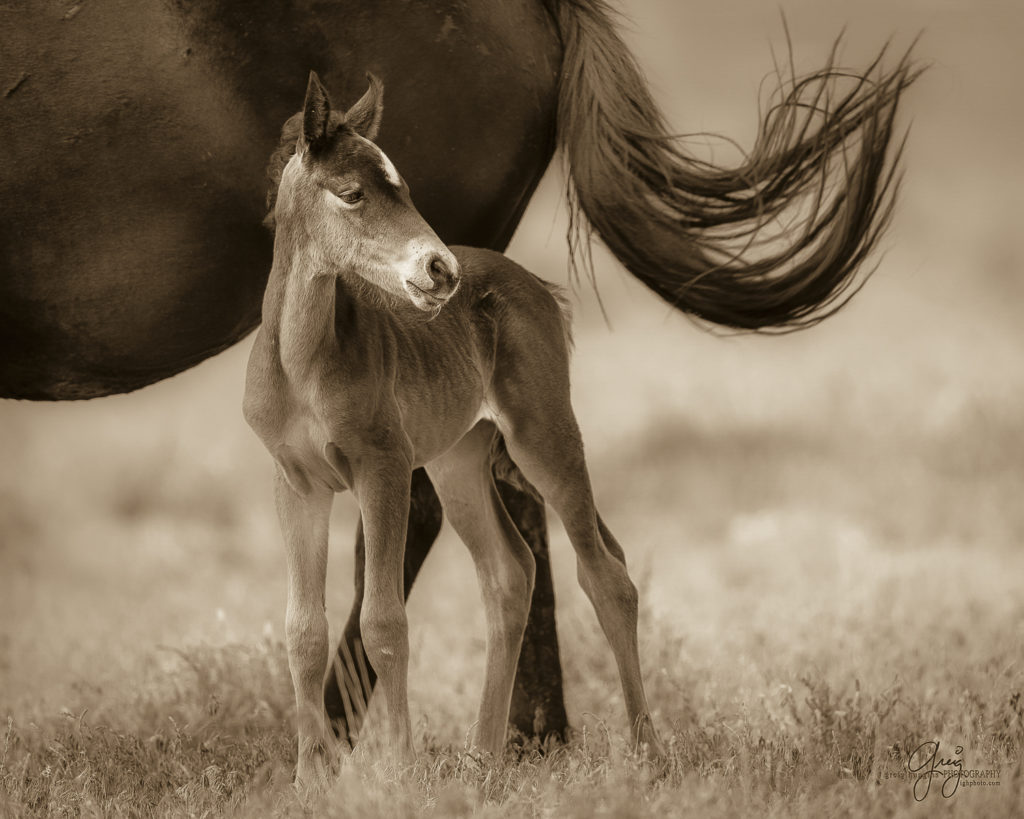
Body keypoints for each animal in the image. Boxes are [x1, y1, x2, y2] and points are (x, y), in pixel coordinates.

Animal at [245, 75, 663, 786]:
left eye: (406, 188)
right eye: (353, 193)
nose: (441, 271)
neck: (304, 364)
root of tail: (538, 285)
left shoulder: (382, 468)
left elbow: (384, 621)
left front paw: (400, 773)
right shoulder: (296, 484)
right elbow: (302, 629)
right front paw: (310, 779)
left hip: (542, 433)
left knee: (606, 574)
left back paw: (645, 752)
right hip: (458, 461)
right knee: (509, 573)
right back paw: (483, 758)